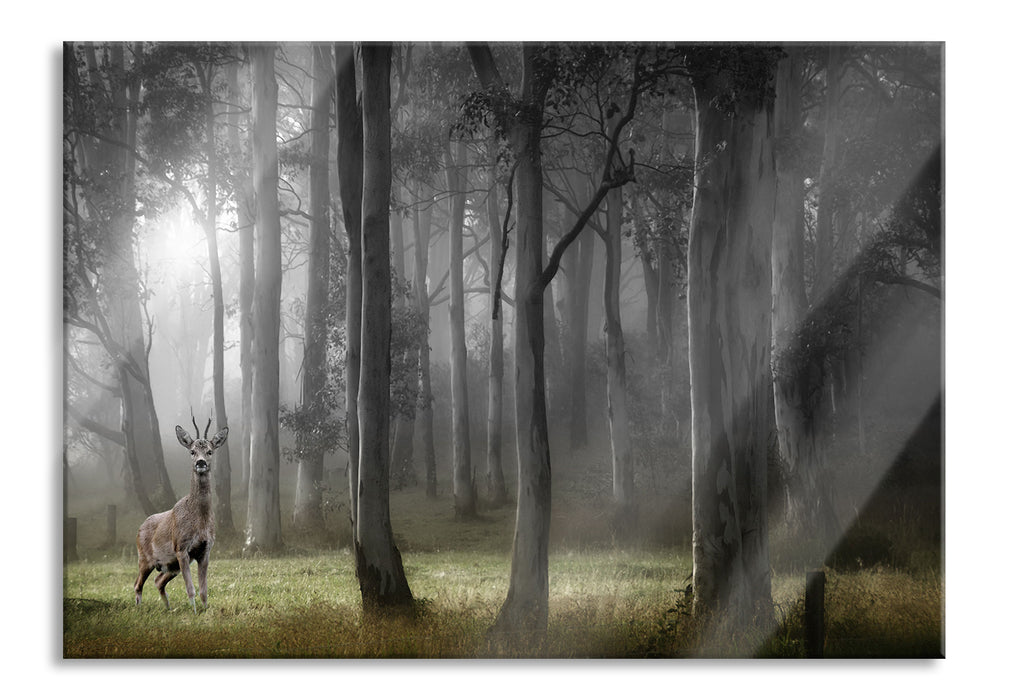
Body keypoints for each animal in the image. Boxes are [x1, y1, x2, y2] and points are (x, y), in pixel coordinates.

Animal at [134, 417, 227, 612]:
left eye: (209, 451)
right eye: (192, 451)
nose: (201, 462)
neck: (200, 520)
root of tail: (139, 528)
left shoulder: (205, 550)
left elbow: (204, 590)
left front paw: (205, 610)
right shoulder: (181, 548)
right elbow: (190, 588)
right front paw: (194, 613)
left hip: (170, 566)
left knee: (158, 581)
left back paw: (168, 609)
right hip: (145, 558)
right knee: (137, 584)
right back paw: (139, 609)